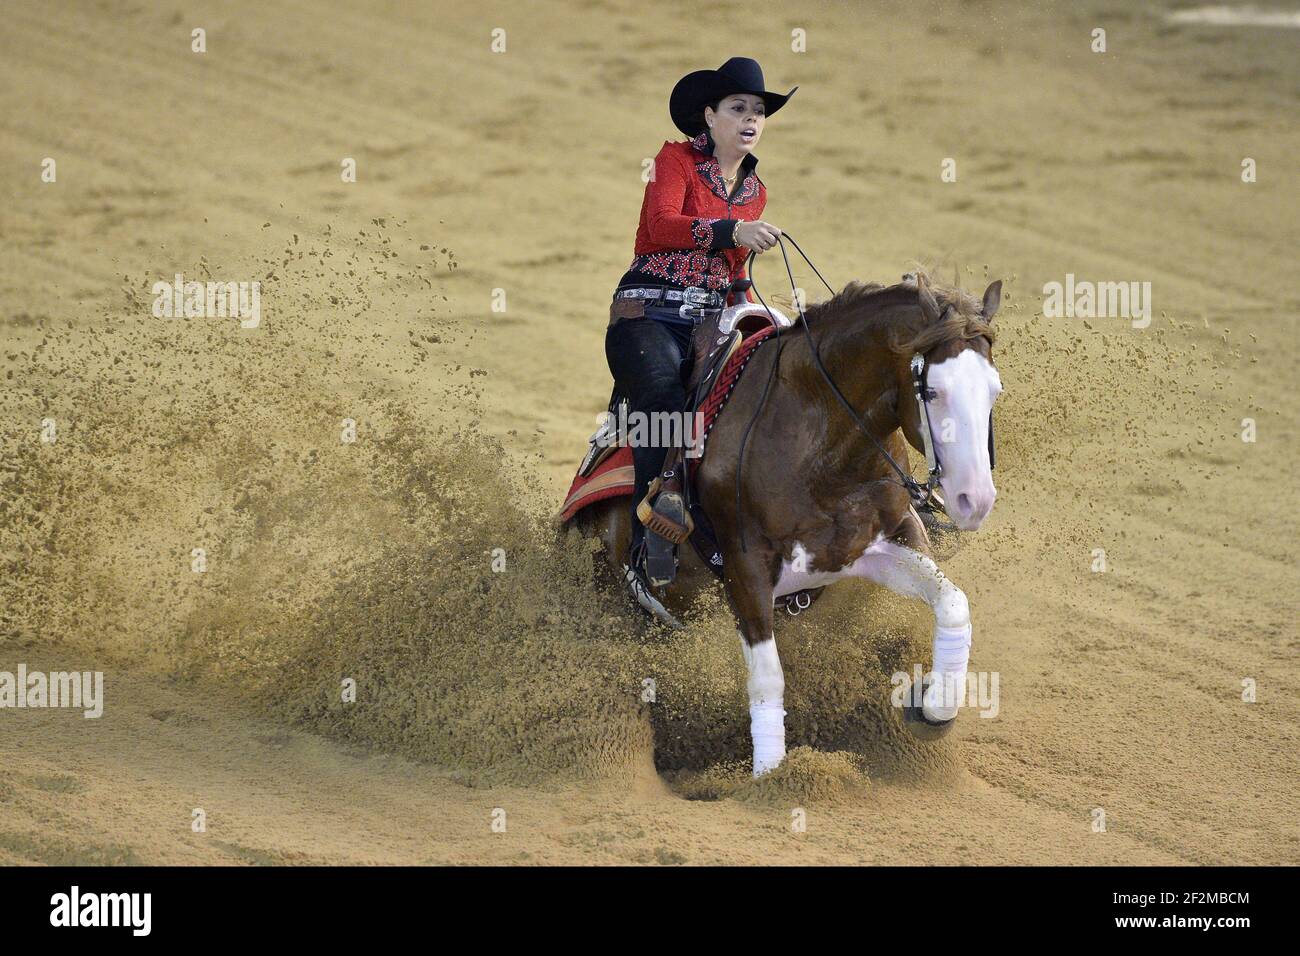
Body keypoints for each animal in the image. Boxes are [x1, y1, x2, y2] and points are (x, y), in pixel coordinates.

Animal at [572, 270, 1003, 780]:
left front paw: (932, 707)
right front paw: (774, 778)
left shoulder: (878, 543)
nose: (975, 500)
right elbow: (767, 678)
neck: (819, 446)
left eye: (995, 390)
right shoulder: (745, 569)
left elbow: (952, 603)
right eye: (933, 391)